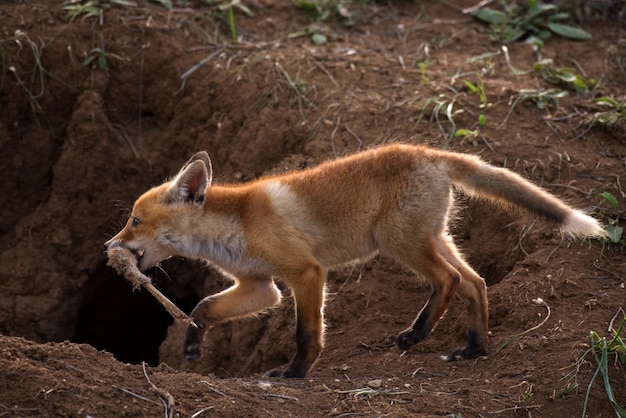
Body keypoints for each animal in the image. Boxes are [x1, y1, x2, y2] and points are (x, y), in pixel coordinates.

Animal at [103, 144, 604, 378]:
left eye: (134, 220)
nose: (108, 243)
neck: (237, 226)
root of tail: (429, 152)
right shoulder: (261, 286)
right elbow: (203, 307)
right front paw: (192, 343)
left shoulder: (306, 273)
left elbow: (307, 333)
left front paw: (295, 374)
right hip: (432, 239)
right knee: (474, 282)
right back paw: (473, 347)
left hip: (398, 243)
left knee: (447, 281)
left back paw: (417, 335)